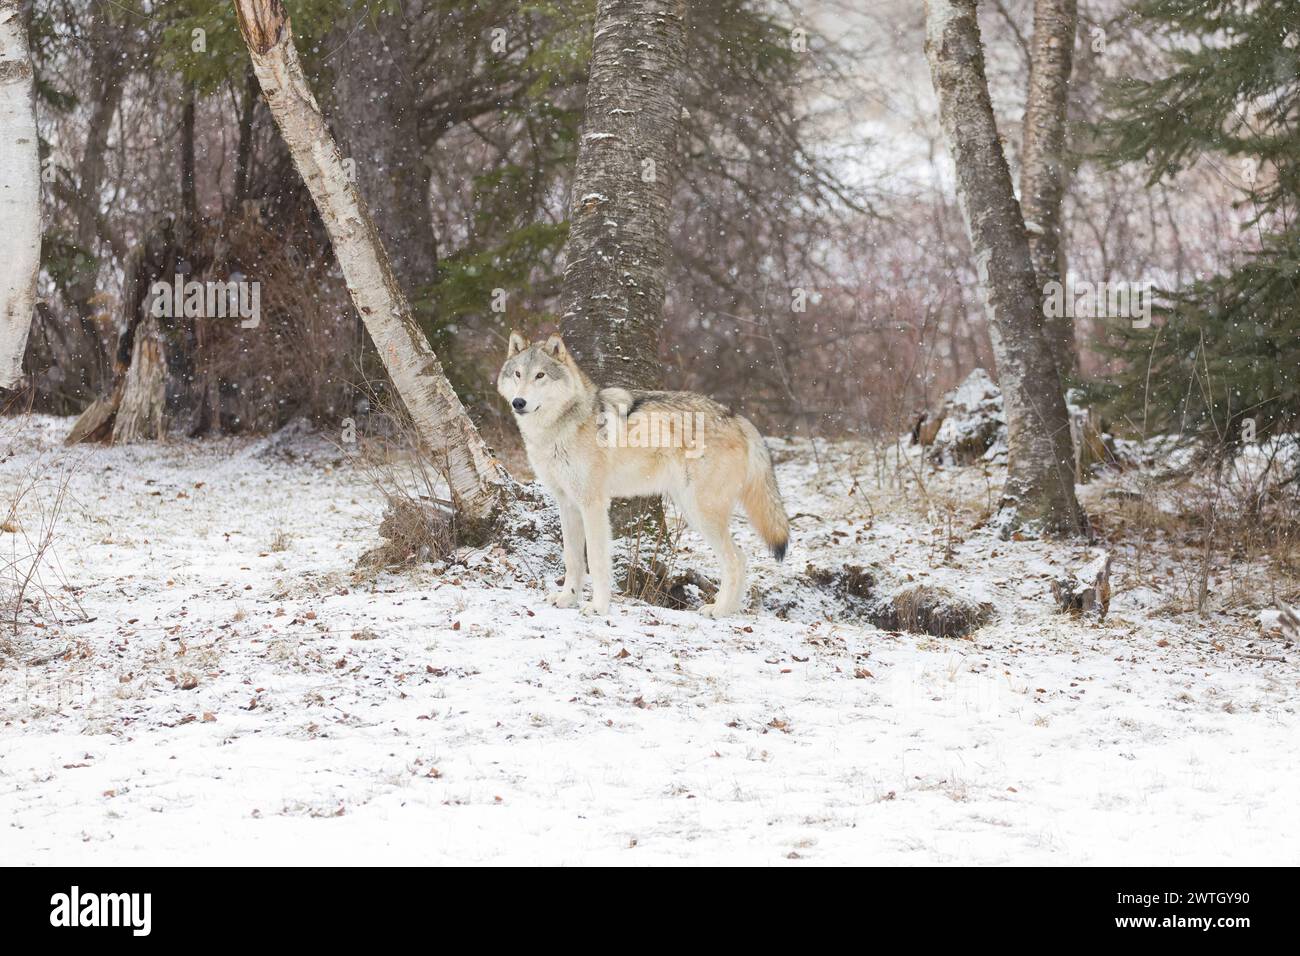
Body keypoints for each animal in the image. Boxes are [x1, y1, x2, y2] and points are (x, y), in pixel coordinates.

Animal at [497, 332, 789, 618]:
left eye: (540, 375)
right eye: (518, 374)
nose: (518, 402)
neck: (561, 428)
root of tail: (739, 418)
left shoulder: (593, 505)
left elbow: (596, 560)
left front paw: (598, 607)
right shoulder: (567, 504)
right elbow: (572, 559)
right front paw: (566, 599)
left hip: (701, 512)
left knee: (736, 560)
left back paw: (719, 610)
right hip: (691, 510)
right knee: (741, 557)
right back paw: (728, 609)